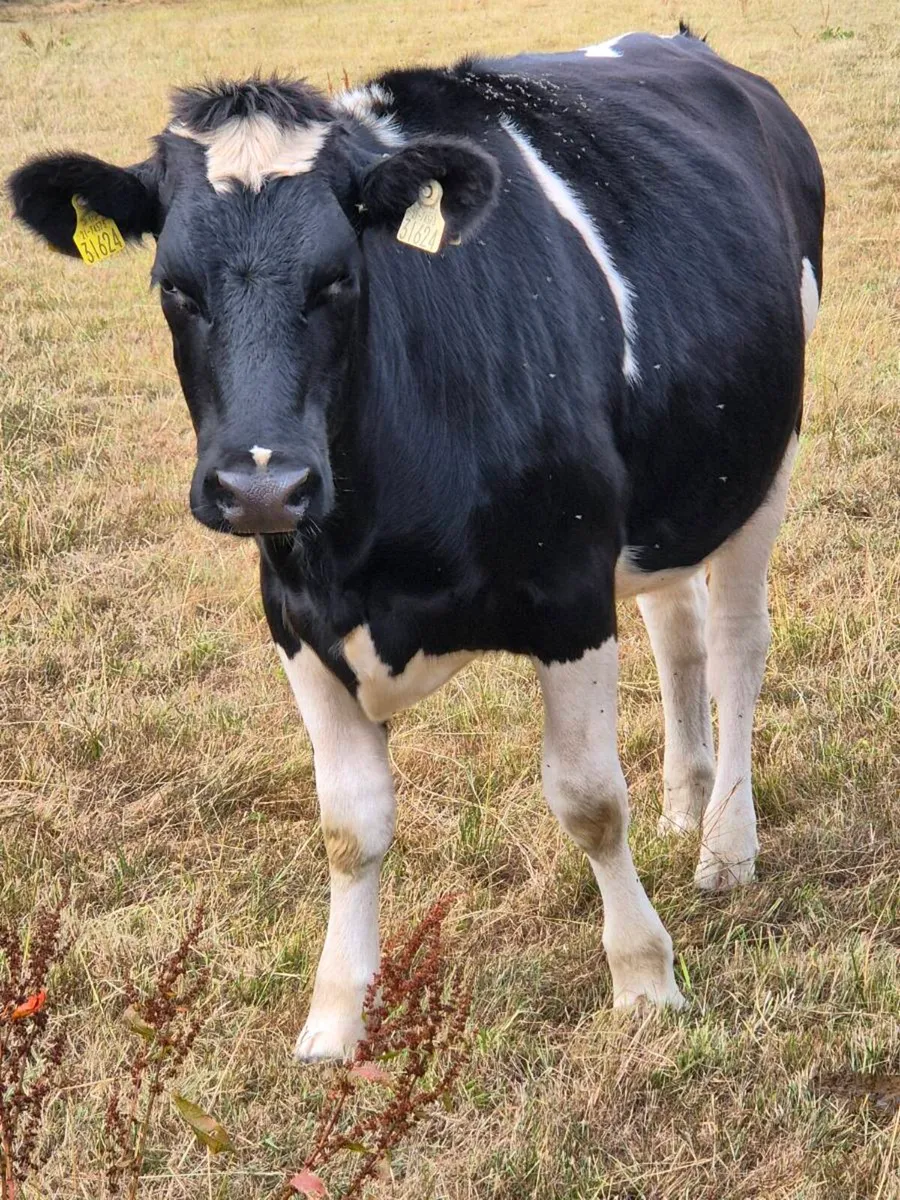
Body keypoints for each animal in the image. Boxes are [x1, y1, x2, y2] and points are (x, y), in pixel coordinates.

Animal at [8, 25, 824, 1061]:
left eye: (339, 277)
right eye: (174, 288)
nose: (262, 485)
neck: (369, 559)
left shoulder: (569, 592)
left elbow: (590, 802)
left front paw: (644, 980)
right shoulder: (296, 617)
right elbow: (349, 827)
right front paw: (333, 1018)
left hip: (765, 460)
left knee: (733, 646)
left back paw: (726, 843)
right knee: (676, 630)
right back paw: (685, 804)